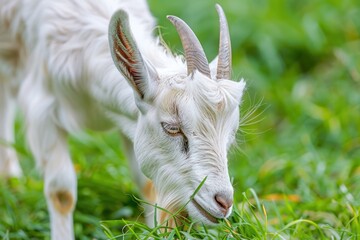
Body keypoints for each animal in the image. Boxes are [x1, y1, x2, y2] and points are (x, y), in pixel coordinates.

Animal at [0, 0, 246, 239]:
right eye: (172, 128)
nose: (224, 202)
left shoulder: (132, 122)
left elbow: (147, 185)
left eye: (231, 134)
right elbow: (62, 193)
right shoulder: (44, 111)